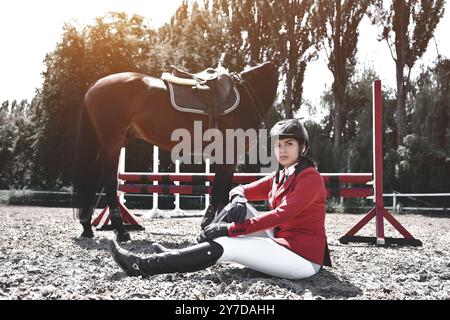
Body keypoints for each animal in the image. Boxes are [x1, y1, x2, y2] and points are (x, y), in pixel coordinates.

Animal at [73, 61, 278, 241]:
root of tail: (95, 86)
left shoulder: (227, 157)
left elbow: (224, 192)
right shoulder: (229, 155)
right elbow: (220, 191)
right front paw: (210, 224)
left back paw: (87, 227)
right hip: (112, 144)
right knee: (109, 180)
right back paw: (121, 231)